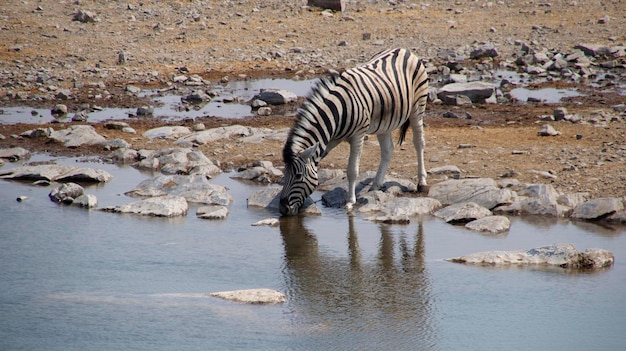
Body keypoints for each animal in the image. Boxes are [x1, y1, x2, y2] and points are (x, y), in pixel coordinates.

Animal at [280, 47, 428, 216]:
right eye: (284, 174)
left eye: (298, 176)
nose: (282, 209)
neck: (336, 114)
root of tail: (403, 49)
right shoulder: (329, 140)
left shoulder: (358, 135)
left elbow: (352, 170)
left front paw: (350, 202)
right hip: (385, 121)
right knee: (388, 150)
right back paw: (376, 185)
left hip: (418, 106)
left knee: (419, 143)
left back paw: (422, 182)